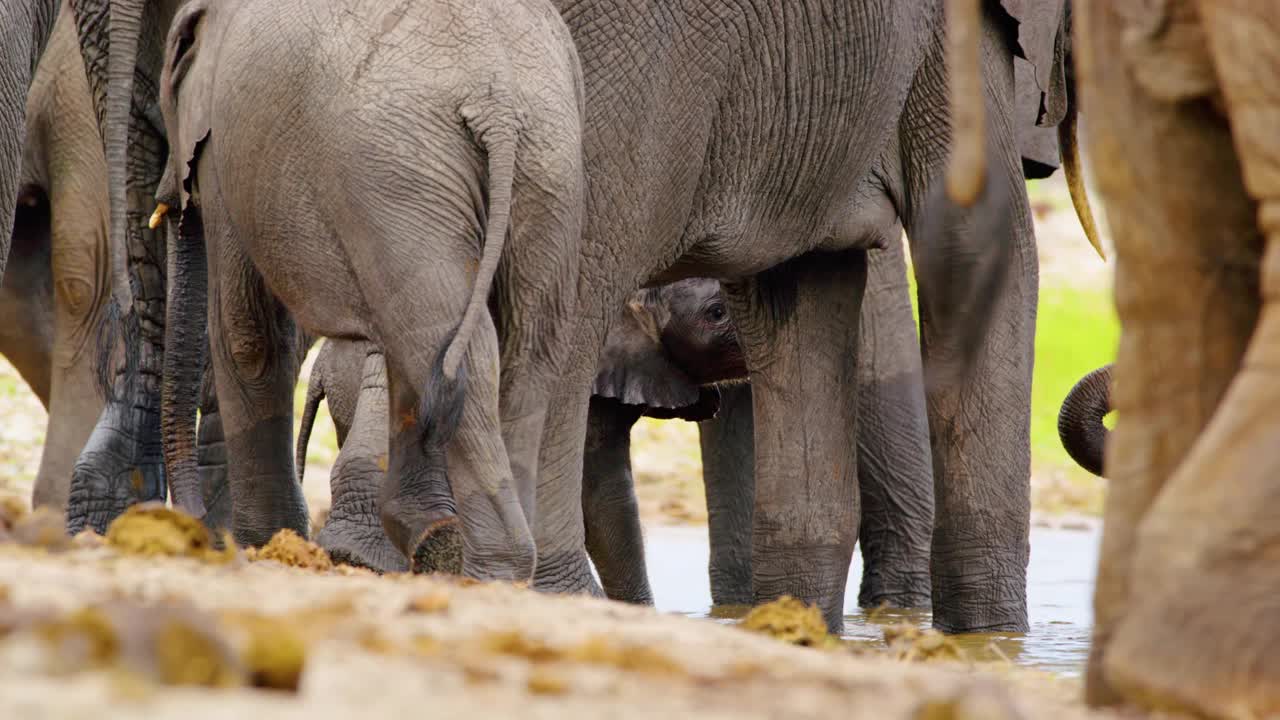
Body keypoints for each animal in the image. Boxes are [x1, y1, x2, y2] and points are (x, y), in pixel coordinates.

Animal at [153, 0, 586, 586]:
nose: (196, 520)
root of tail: (499, 104)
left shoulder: (226, 149)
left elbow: (247, 333)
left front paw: (264, 547)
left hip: (398, 171)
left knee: (439, 341)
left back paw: (482, 571)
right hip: (548, 168)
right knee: (520, 350)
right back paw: (485, 565)